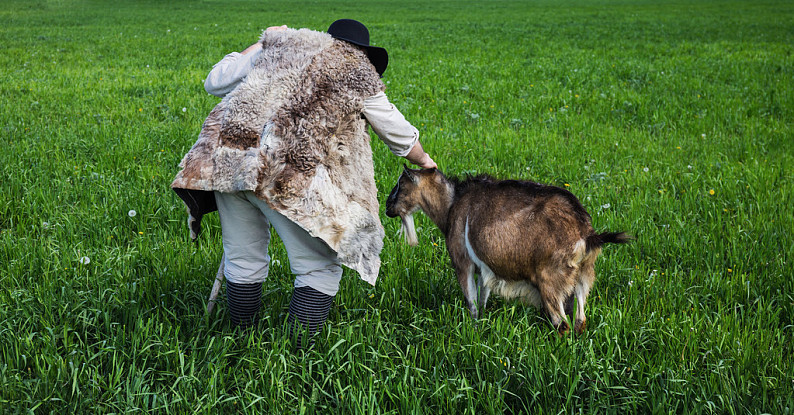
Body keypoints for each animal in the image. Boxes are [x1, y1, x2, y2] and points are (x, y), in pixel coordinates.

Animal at [386, 166, 632, 334]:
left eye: (401, 185)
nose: (388, 207)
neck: (451, 205)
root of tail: (586, 233)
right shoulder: (484, 268)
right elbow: (482, 298)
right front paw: (481, 323)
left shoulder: (462, 261)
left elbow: (471, 301)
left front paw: (472, 330)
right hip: (583, 276)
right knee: (580, 320)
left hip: (551, 280)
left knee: (562, 324)